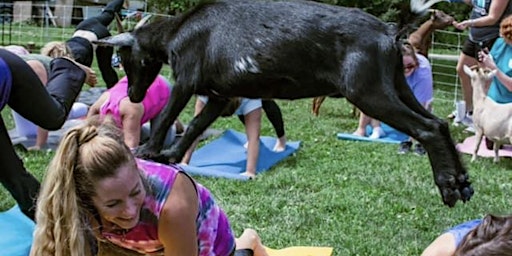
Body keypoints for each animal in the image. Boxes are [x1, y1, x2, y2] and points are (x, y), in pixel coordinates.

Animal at [95, 0, 472, 207]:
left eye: (126, 59)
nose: (133, 96)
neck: (179, 30)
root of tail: (389, 31)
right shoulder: (218, 96)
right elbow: (196, 127)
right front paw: (172, 156)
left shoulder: (186, 79)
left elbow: (167, 117)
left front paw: (148, 151)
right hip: (396, 87)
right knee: (439, 123)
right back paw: (462, 181)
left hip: (369, 92)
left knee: (427, 128)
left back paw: (447, 186)